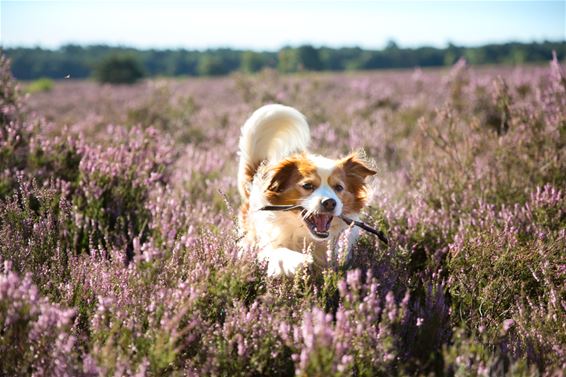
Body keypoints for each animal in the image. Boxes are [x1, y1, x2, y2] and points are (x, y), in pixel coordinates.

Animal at [237, 104, 374, 274]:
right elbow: (279, 251)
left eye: (338, 187)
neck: (305, 235)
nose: (330, 202)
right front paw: (299, 260)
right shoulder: (267, 245)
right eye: (307, 186)